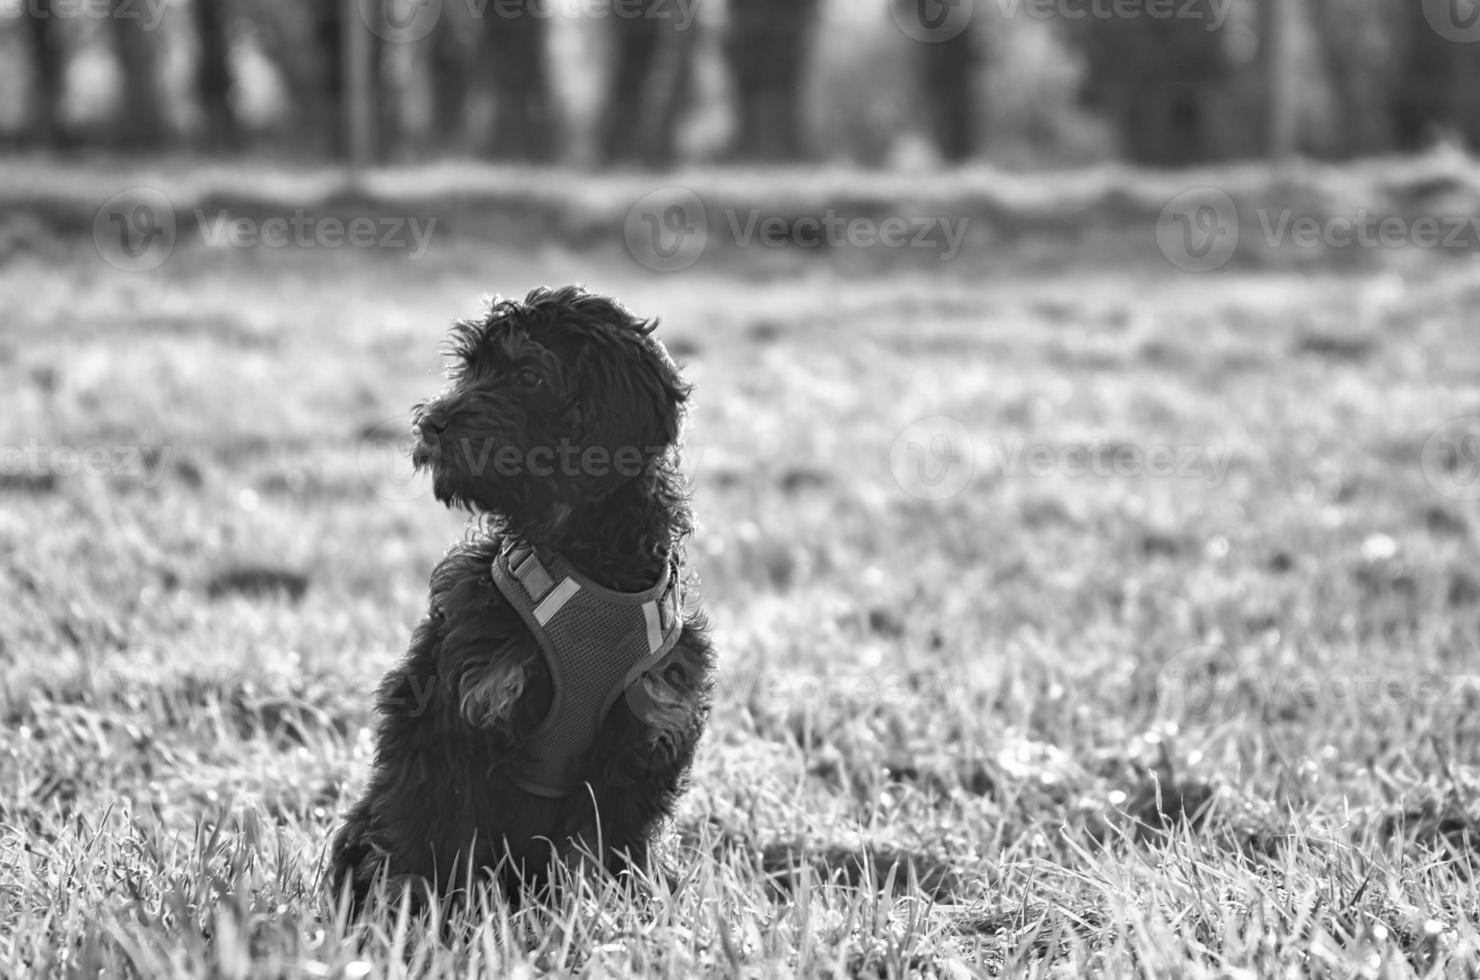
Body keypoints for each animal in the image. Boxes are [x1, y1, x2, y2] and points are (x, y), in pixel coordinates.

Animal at [330, 284, 710, 911]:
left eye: (529, 376)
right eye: (469, 369)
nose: (432, 423)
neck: (590, 567)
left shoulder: (646, 729)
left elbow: (600, 852)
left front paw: (601, 916)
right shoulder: (456, 716)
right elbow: (438, 841)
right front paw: (433, 917)